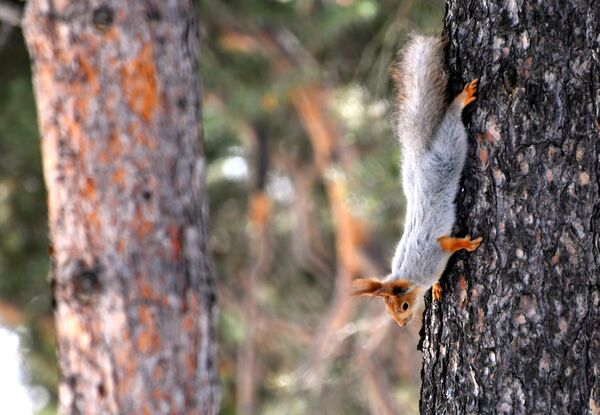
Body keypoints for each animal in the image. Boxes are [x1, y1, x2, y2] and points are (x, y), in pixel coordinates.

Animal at [352, 35, 482, 328]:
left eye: (403, 306)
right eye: (390, 311)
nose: (402, 325)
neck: (410, 275)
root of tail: (421, 158)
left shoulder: (434, 249)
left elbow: (450, 244)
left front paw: (468, 244)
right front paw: (437, 288)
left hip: (448, 151)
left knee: (451, 122)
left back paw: (461, 100)